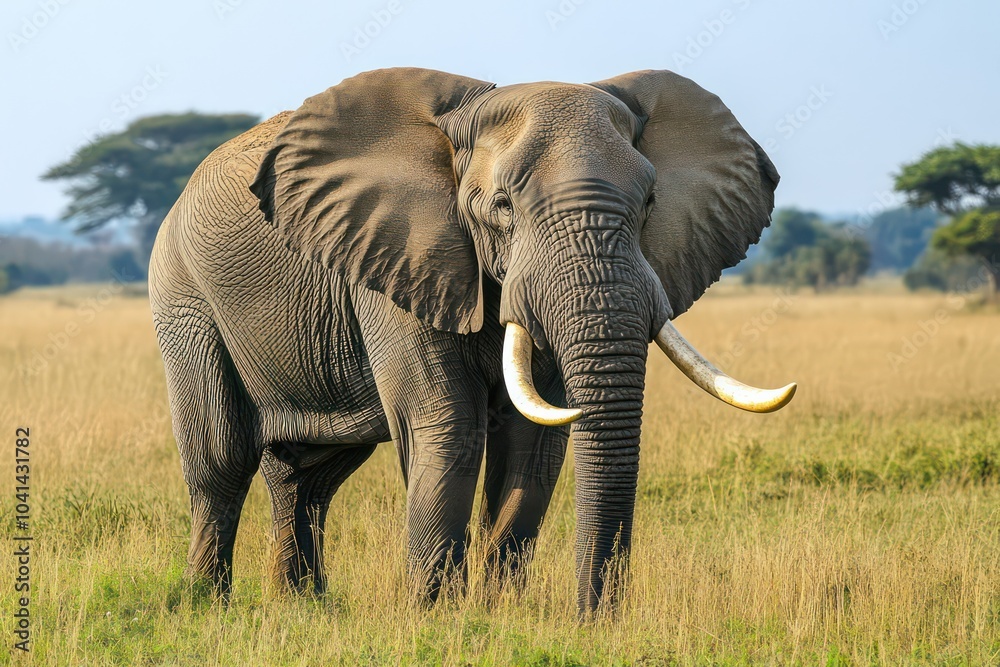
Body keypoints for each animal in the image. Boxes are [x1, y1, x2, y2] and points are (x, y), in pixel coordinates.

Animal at [148, 67, 795, 615]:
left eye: (650, 203)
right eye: (502, 206)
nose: (597, 618)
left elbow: (534, 440)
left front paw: (498, 614)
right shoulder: (400, 256)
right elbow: (449, 423)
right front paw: (435, 617)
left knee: (309, 473)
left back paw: (302, 606)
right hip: (183, 297)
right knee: (221, 460)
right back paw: (207, 605)